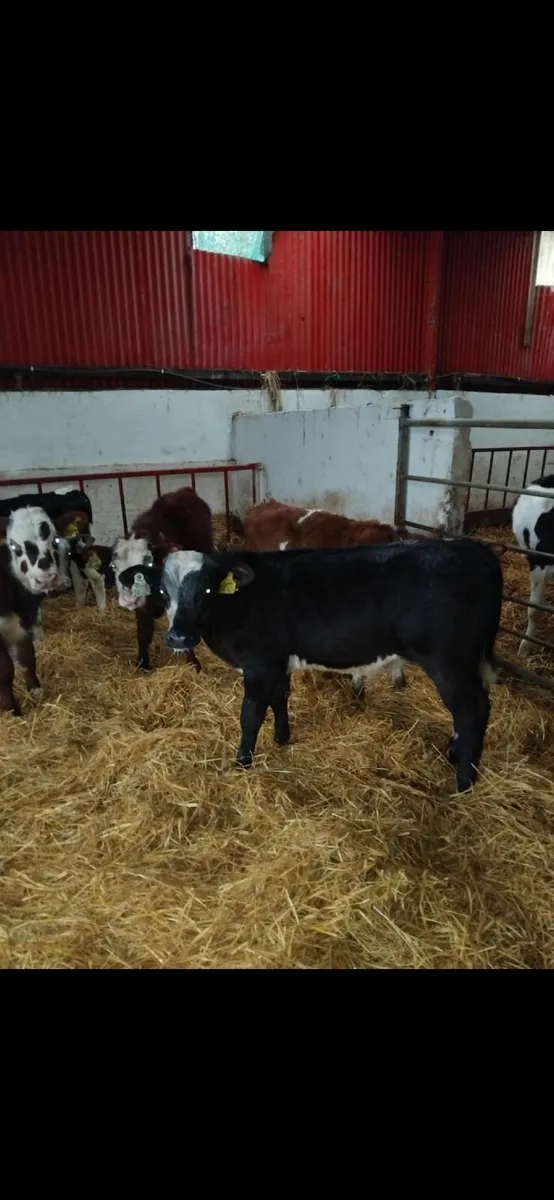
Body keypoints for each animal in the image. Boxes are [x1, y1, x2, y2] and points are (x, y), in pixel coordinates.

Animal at [0, 507, 69, 715]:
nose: (45, 578)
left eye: (55, 540)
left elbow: (27, 659)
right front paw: (11, 710)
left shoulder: (24, 622)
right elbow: (5, 670)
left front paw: (36, 692)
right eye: (14, 547)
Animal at [111, 486, 214, 672]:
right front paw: (142, 663)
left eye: (149, 562)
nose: (129, 598)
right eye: (114, 567)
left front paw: (194, 664)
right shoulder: (142, 609)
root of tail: (184, 491)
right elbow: (143, 633)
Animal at [119, 537, 502, 794]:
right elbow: (279, 699)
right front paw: (282, 738)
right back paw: (455, 754)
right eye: (163, 592)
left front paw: (243, 761)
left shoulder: (259, 663)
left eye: (209, 591)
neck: (242, 602)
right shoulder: (277, 662)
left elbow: (250, 714)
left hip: (449, 661)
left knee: (472, 710)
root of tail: (472, 547)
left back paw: (464, 782)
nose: (179, 637)